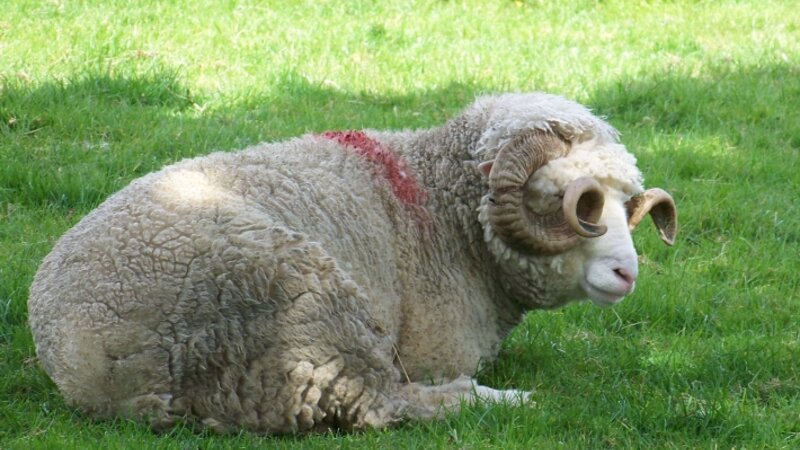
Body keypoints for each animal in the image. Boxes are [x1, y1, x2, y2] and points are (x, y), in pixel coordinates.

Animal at [28, 92, 677, 434]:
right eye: (576, 204)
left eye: (627, 202)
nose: (628, 275)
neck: (438, 204)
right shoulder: (432, 349)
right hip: (306, 315)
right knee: (384, 404)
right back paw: (505, 401)